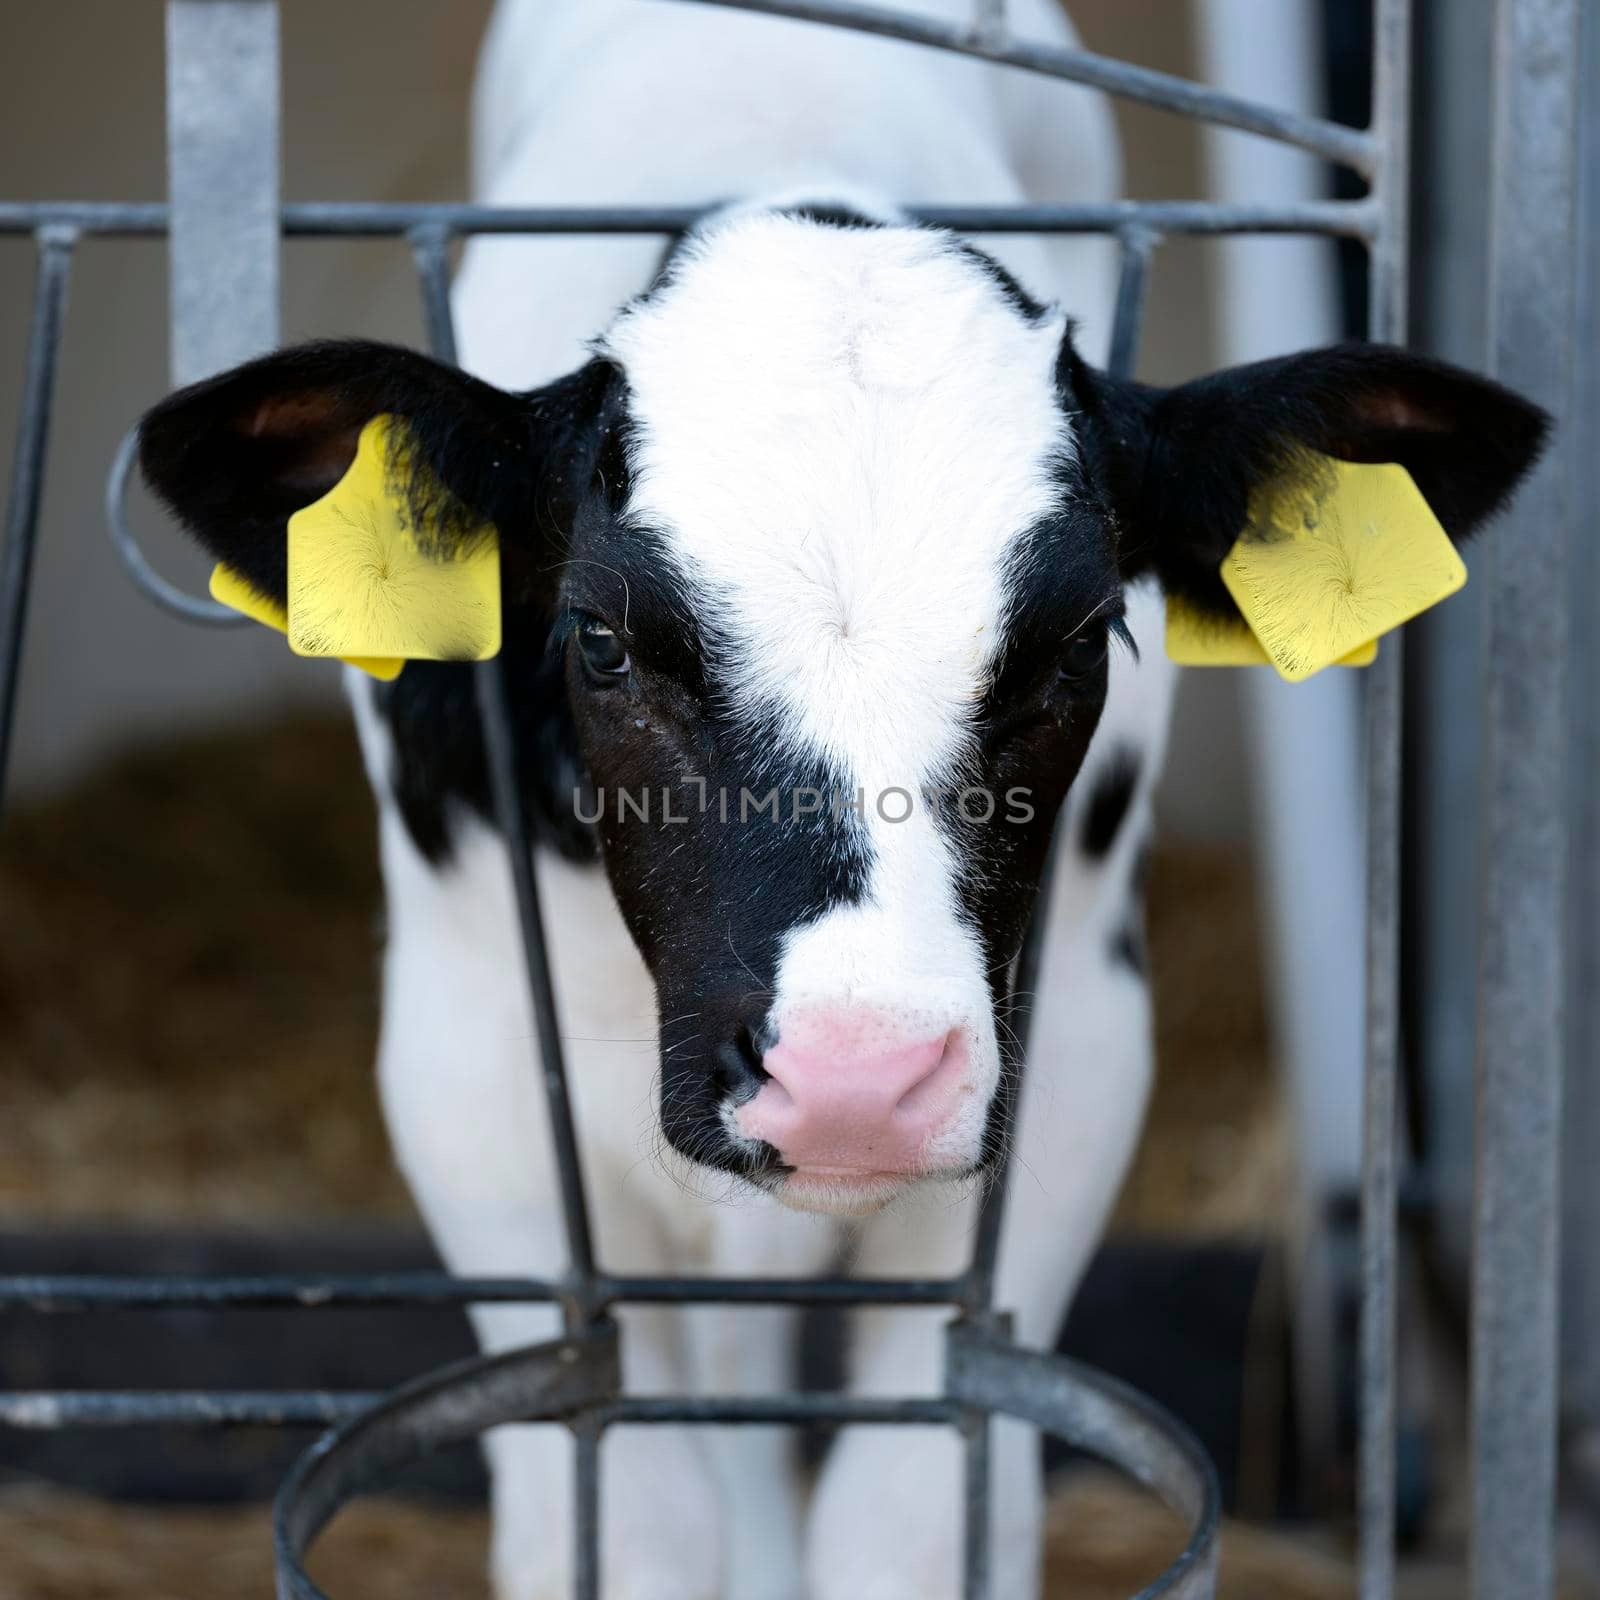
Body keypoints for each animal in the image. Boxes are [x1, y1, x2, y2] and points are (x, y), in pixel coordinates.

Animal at [144, 3, 1542, 1600]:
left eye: (1077, 642)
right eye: (603, 639)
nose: (857, 1075)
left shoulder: (1070, 1058)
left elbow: (911, 1511)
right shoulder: (471, 1066)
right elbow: (627, 1518)